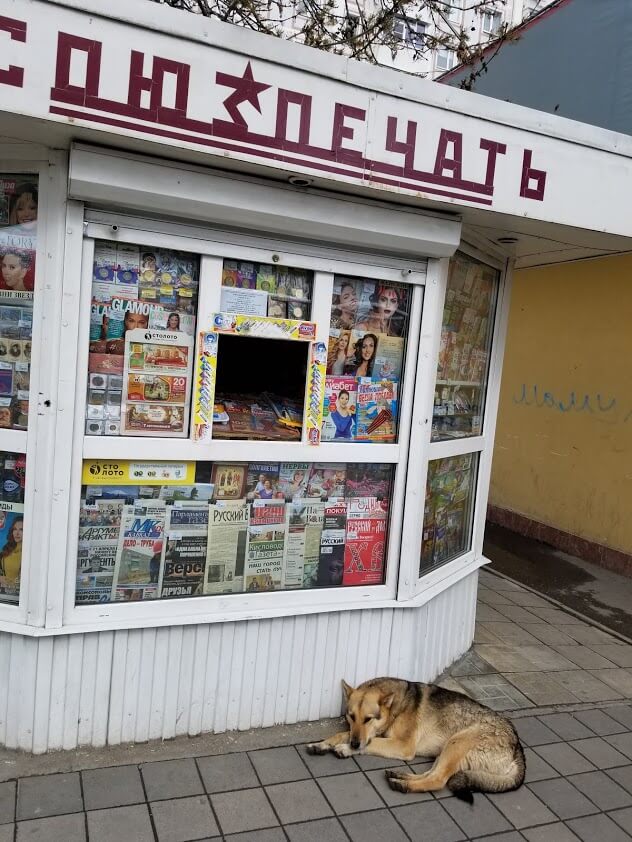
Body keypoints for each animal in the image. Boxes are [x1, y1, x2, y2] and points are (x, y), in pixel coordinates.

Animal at [306, 676, 524, 800]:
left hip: (457, 742)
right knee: (430, 773)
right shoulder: (363, 733)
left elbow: (370, 742)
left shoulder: (401, 745)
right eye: (351, 717)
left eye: (368, 719)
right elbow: (342, 734)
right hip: (445, 751)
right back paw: (401, 776)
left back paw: (404, 785)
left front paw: (345, 748)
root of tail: (518, 749)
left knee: (438, 780)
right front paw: (322, 744)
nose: (354, 743)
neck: (397, 707)